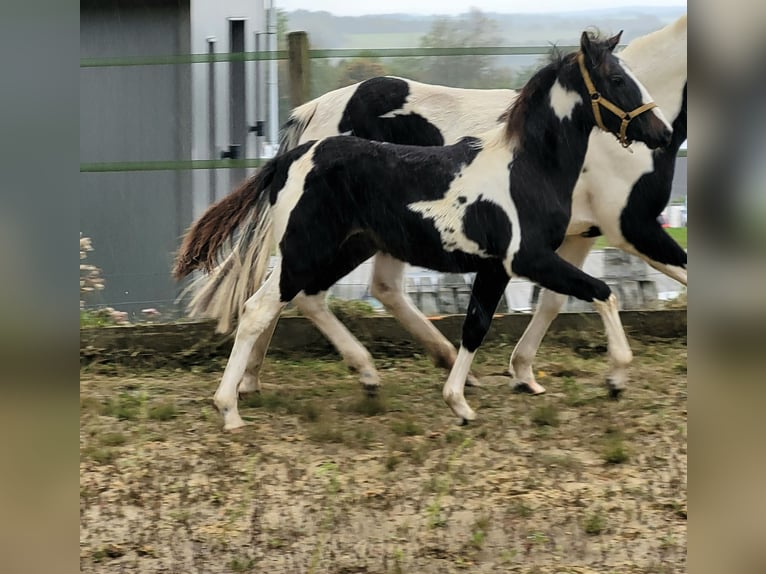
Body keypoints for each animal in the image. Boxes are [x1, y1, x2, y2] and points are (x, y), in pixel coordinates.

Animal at [174, 29, 672, 430]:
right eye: (616, 79)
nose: (662, 132)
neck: (526, 170)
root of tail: (288, 159)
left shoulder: (496, 267)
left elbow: (477, 325)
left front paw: (462, 400)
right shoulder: (527, 258)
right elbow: (602, 292)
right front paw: (616, 376)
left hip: (339, 249)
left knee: (305, 298)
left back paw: (357, 375)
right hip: (306, 251)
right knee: (260, 308)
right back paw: (230, 409)